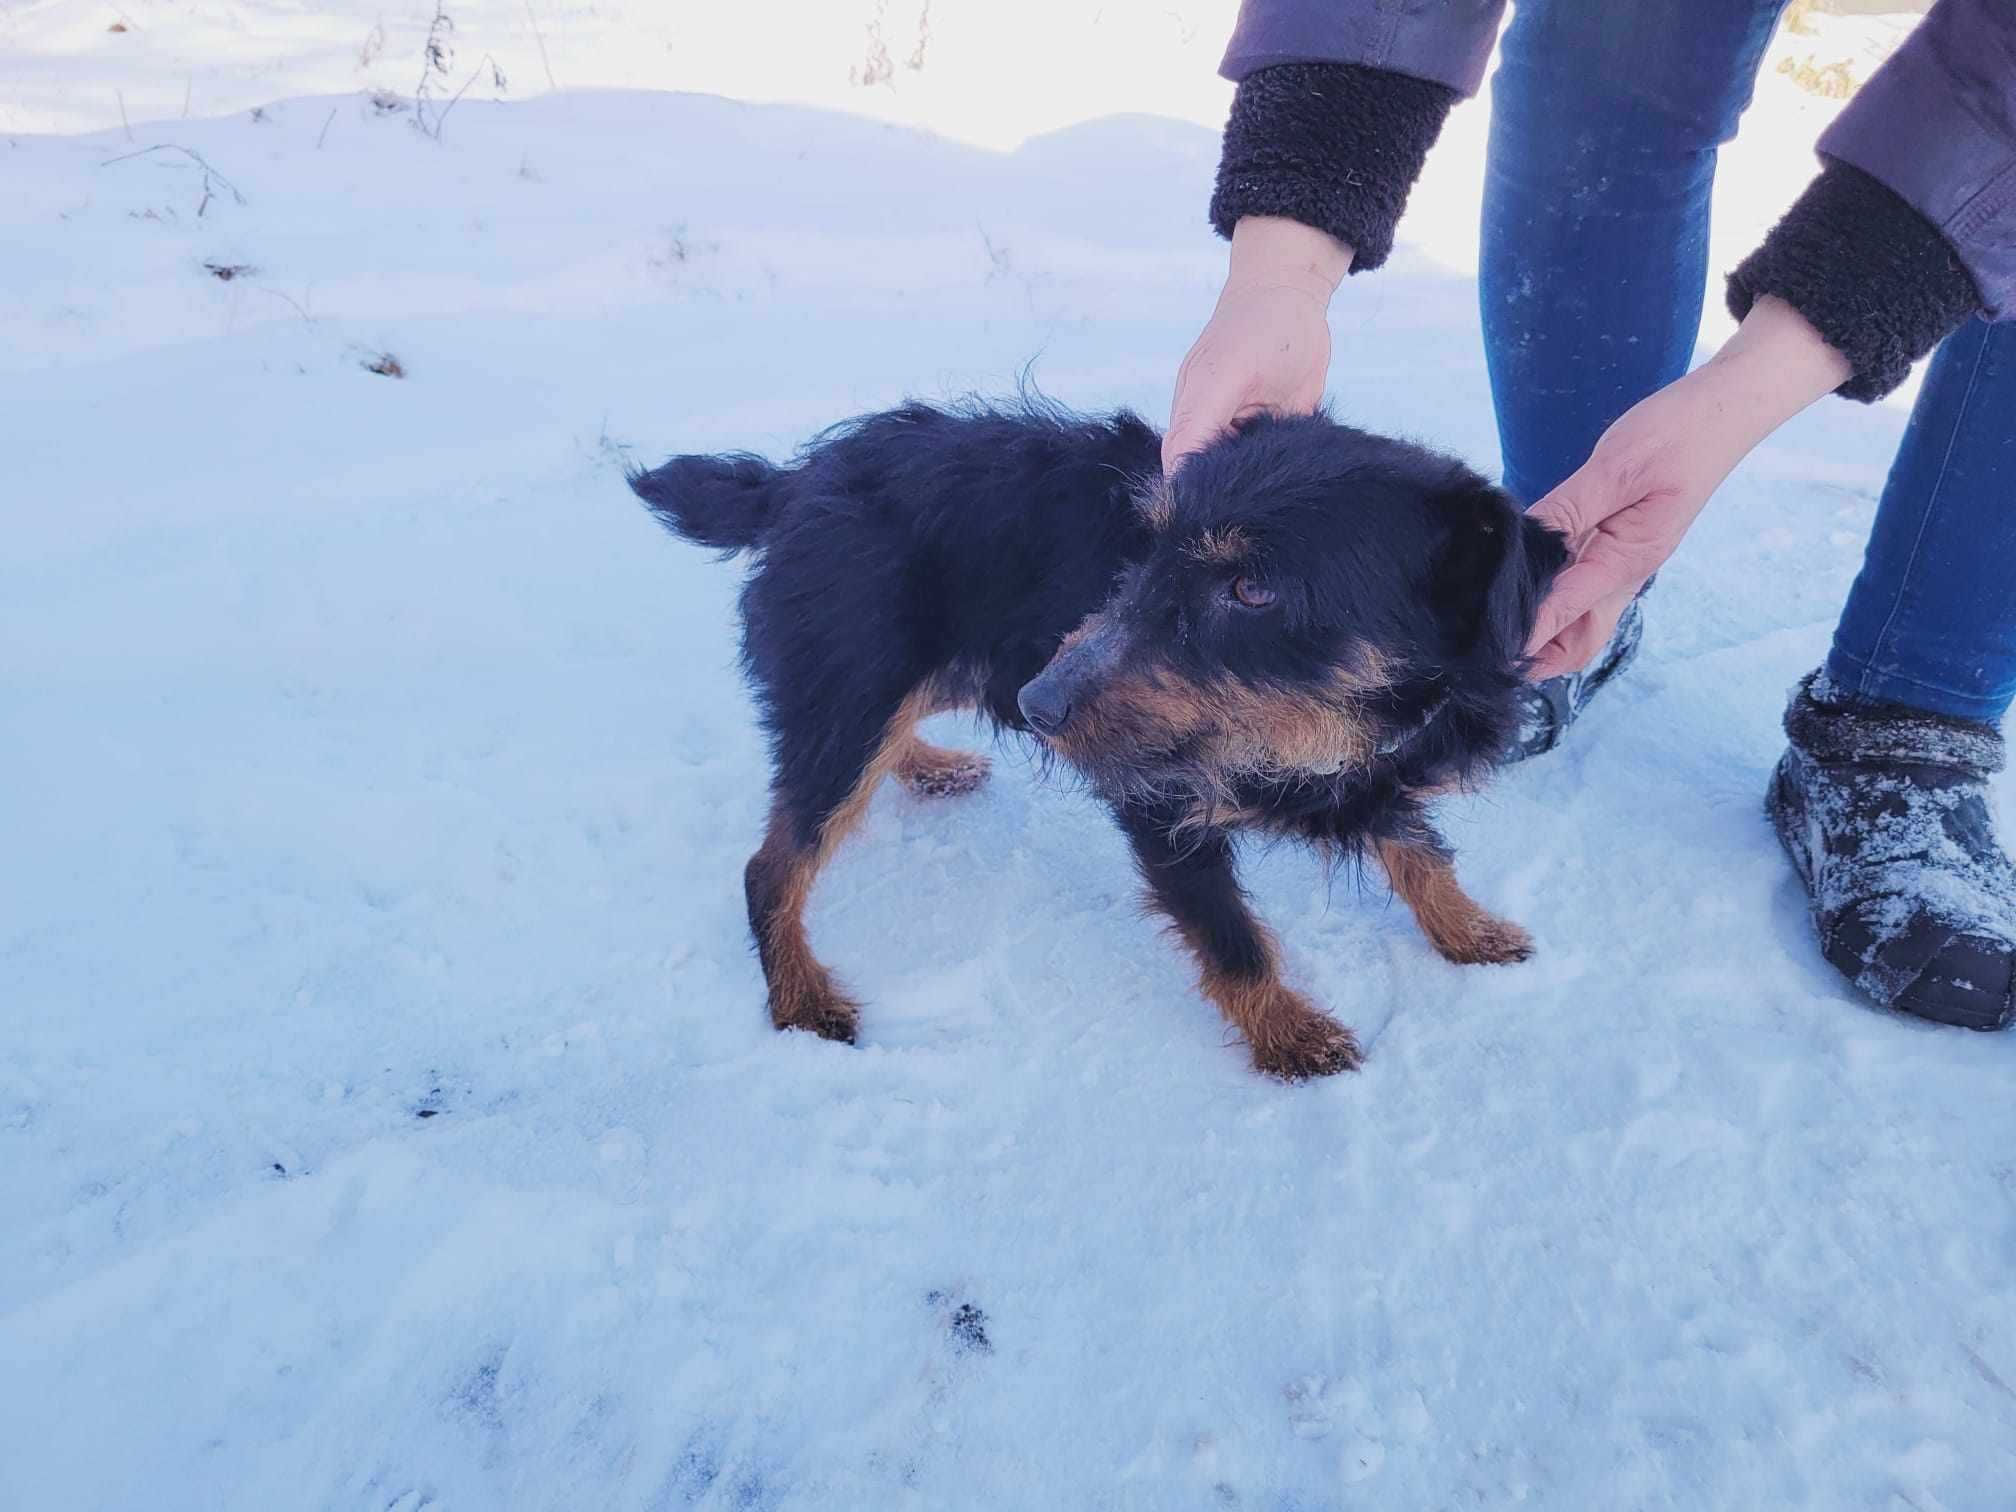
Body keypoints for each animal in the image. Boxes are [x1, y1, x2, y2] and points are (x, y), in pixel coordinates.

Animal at [620, 403, 1564, 1080]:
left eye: (1253, 590)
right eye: (1147, 548)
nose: (1038, 704)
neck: (1320, 731)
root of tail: (794, 483)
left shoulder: (1380, 772)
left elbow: (1418, 849)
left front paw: (1467, 930)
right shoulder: (1160, 803)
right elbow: (1232, 937)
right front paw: (1289, 1036)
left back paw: (927, 764)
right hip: (849, 699)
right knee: (771, 865)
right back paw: (800, 1001)